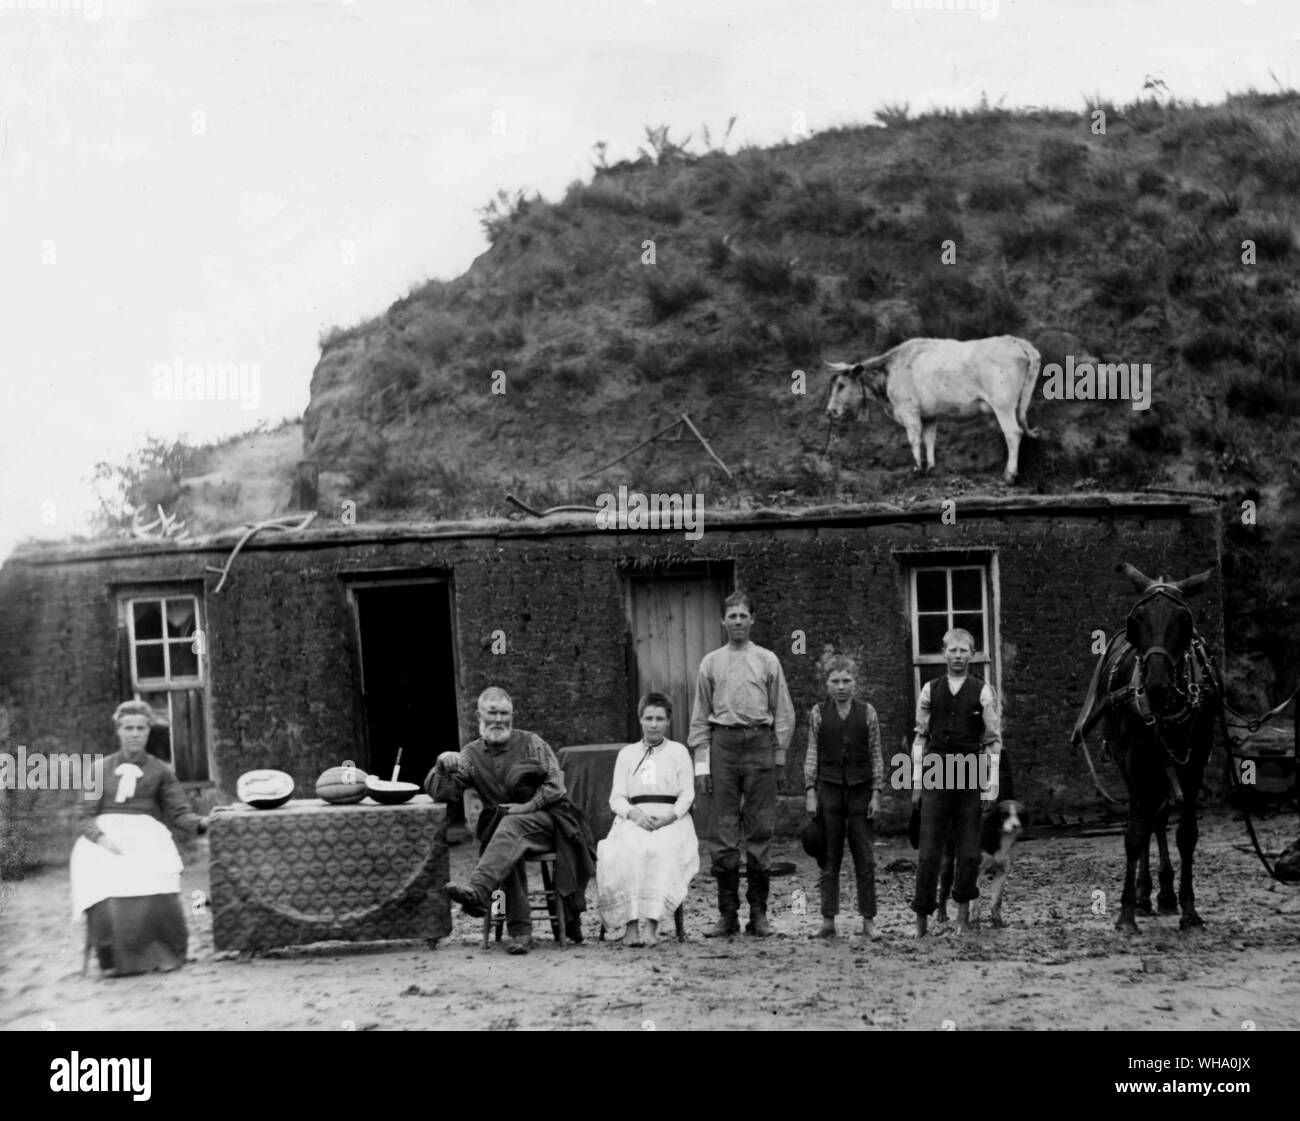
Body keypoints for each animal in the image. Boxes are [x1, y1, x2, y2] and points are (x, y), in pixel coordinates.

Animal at [826, 338, 1040, 486]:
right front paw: (930, 467)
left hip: (1003, 404)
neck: (891, 370)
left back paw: (1009, 475)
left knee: (1013, 433)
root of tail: (1015, 341)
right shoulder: (929, 414)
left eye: (841, 385)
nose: (830, 411)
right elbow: (929, 439)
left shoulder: (909, 410)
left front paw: (916, 469)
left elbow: (914, 439)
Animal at [1081, 561, 1222, 941]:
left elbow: (1186, 834)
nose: (1156, 686)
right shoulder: (1133, 760)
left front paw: (1189, 909)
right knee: (1145, 818)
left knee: (1157, 817)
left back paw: (1165, 893)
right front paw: (1127, 911)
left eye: (1184, 620)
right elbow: (1134, 833)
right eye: (1136, 620)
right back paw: (1145, 895)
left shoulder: (1195, 761)